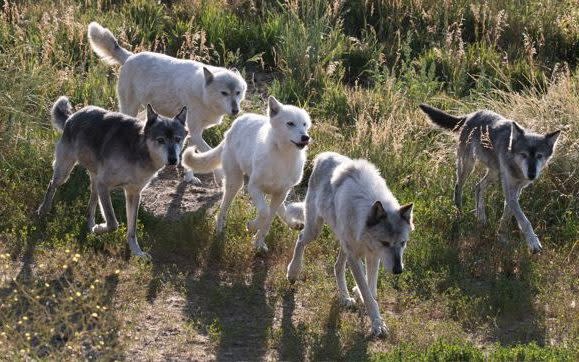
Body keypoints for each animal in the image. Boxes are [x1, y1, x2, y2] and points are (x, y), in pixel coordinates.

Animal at [37, 96, 187, 258]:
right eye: (160, 140)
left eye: (177, 139)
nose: (173, 160)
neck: (138, 151)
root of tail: (72, 117)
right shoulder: (104, 185)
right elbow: (113, 223)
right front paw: (99, 229)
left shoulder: (133, 193)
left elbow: (132, 230)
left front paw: (137, 252)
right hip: (65, 173)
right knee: (51, 185)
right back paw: (43, 210)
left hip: (94, 183)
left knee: (90, 207)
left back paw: (90, 225)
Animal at [88, 20, 247, 184]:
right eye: (224, 93)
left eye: (238, 93)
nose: (236, 111)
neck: (202, 93)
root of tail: (130, 57)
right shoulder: (195, 132)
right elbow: (208, 152)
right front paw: (220, 177)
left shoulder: (192, 132)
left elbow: (190, 156)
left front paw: (189, 178)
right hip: (129, 108)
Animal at [184, 97, 312, 253]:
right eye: (290, 123)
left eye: (304, 124)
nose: (305, 137)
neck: (283, 156)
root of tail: (234, 126)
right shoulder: (253, 188)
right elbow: (264, 213)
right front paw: (251, 226)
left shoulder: (281, 192)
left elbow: (268, 219)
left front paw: (259, 244)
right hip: (235, 184)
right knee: (222, 210)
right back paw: (219, 232)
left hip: (273, 192)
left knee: (278, 209)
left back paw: (293, 223)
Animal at [284, 152, 412, 336]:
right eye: (385, 243)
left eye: (402, 243)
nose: (398, 270)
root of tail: (323, 155)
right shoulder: (359, 256)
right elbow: (367, 292)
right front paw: (377, 324)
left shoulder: (373, 255)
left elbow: (371, 288)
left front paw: (366, 305)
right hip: (315, 231)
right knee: (300, 239)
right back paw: (293, 272)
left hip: (344, 244)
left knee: (337, 266)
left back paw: (345, 298)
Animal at [422, 103, 560, 253]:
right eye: (523, 155)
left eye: (539, 156)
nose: (531, 175)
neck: (516, 168)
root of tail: (471, 115)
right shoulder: (510, 190)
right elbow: (524, 220)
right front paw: (533, 242)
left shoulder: (517, 190)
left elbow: (507, 214)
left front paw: (501, 236)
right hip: (467, 166)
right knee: (458, 187)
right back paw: (459, 215)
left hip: (493, 173)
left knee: (478, 187)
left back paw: (481, 218)